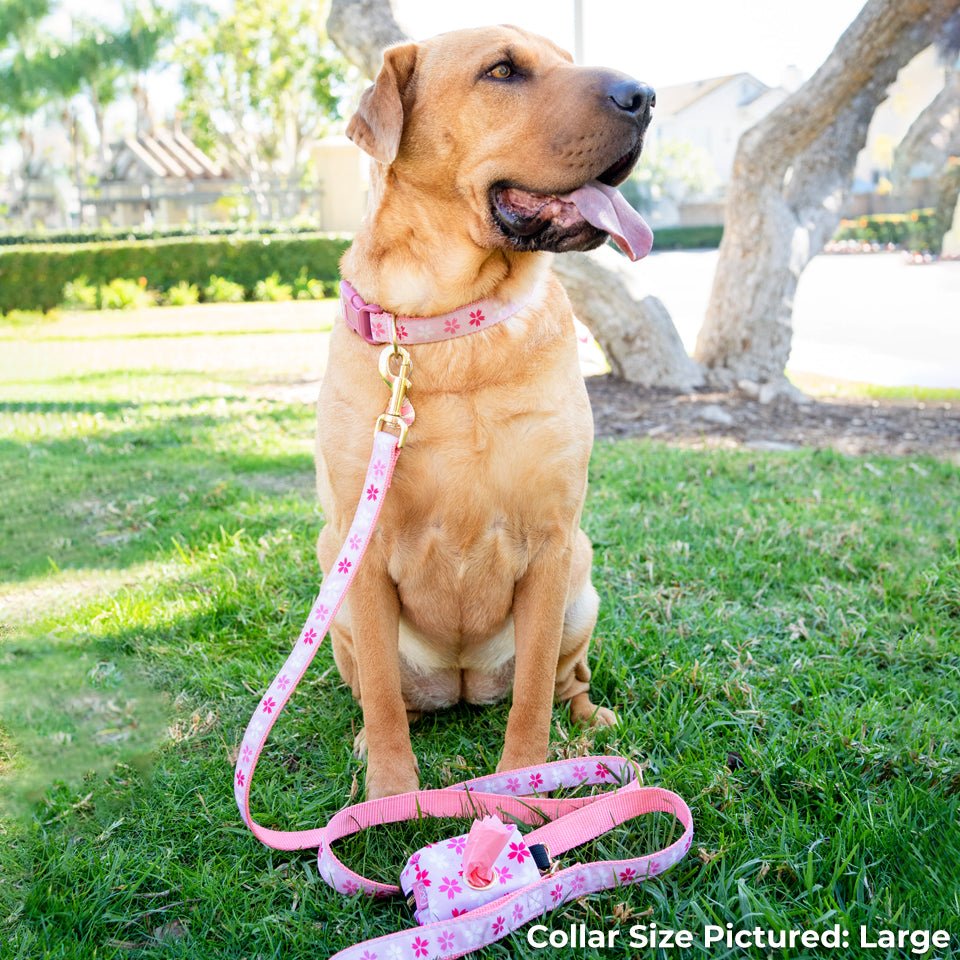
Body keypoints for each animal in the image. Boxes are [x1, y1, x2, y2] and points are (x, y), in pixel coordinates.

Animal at [318, 24, 656, 804]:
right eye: (502, 71)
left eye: (568, 63)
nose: (646, 95)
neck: (452, 327)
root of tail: (464, 682)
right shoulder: (362, 552)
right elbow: (383, 697)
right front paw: (390, 794)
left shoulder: (552, 539)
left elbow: (531, 694)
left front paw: (526, 784)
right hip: (332, 574)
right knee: (380, 691)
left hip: (581, 585)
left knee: (566, 679)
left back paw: (588, 726)